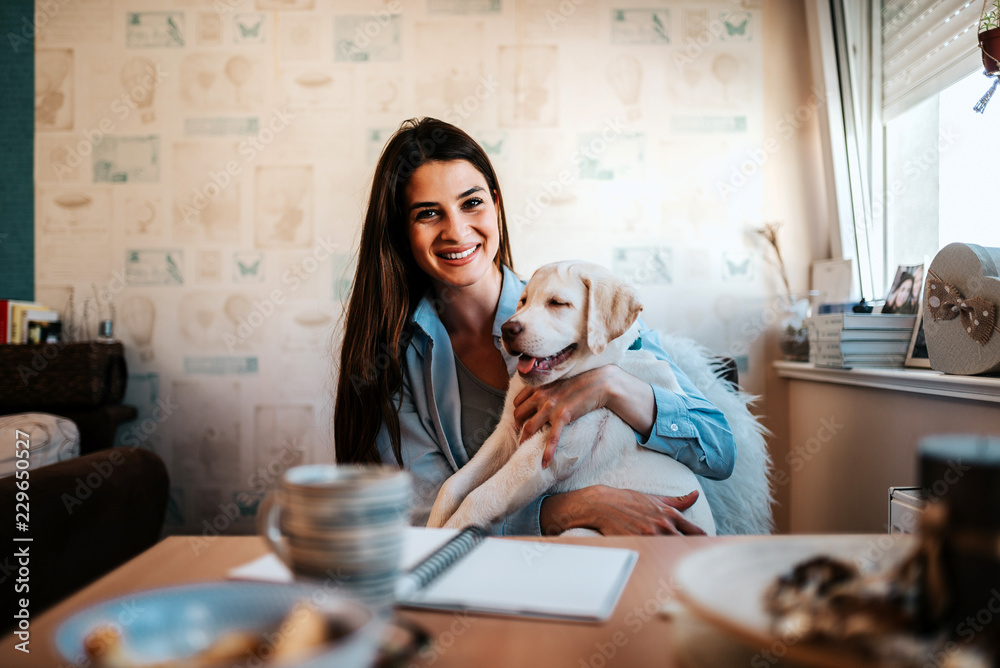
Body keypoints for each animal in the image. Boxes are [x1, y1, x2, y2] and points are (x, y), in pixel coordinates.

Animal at [426, 260, 716, 536]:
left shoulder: (546, 453)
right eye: (523, 301)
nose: (507, 329)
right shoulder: (509, 430)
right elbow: (452, 485)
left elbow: (478, 498)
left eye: (557, 303)